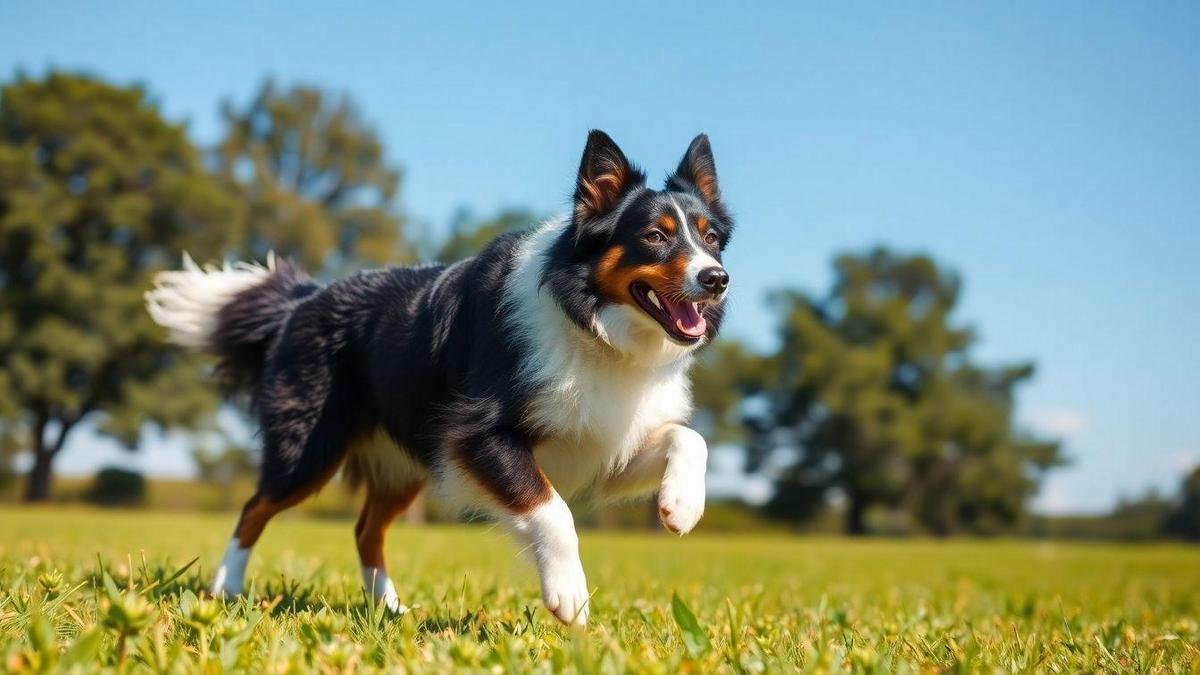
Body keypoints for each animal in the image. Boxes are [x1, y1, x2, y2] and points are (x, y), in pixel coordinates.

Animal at [147, 131, 729, 624]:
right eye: (654, 236)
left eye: (712, 239)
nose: (718, 278)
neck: (591, 321)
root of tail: (302, 300)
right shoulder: (477, 433)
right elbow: (553, 511)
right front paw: (570, 596)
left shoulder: (606, 444)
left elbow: (688, 437)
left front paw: (682, 505)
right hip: (309, 448)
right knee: (254, 509)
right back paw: (225, 590)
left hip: (405, 458)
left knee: (365, 529)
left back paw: (389, 609)